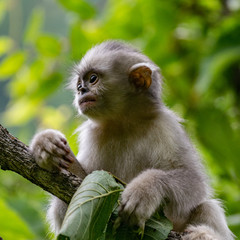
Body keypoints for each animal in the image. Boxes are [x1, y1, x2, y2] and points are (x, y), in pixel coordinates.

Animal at [29, 40, 233, 239]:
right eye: (79, 83)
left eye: (92, 79)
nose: (81, 89)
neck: (124, 123)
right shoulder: (92, 135)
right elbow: (82, 185)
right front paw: (46, 144)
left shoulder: (167, 126)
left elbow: (194, 182)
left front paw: (145, 189)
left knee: (207, 206)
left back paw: (204, 235)